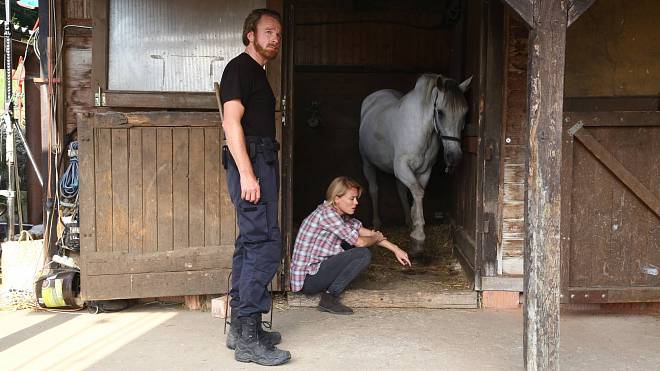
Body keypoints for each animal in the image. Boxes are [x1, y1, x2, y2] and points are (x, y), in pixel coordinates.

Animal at [358, 74, 472, 258]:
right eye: (440, 113)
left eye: (465, 113)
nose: (454, 157)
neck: (421, 130)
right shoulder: (402, 167)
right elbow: (418, 192)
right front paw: (418, 238)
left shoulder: (424, 171)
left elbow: (417, 193)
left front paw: (414, 226)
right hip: (367, 163)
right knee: (374, 189)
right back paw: (376, 224)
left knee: (401, 191)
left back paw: (408, 221)